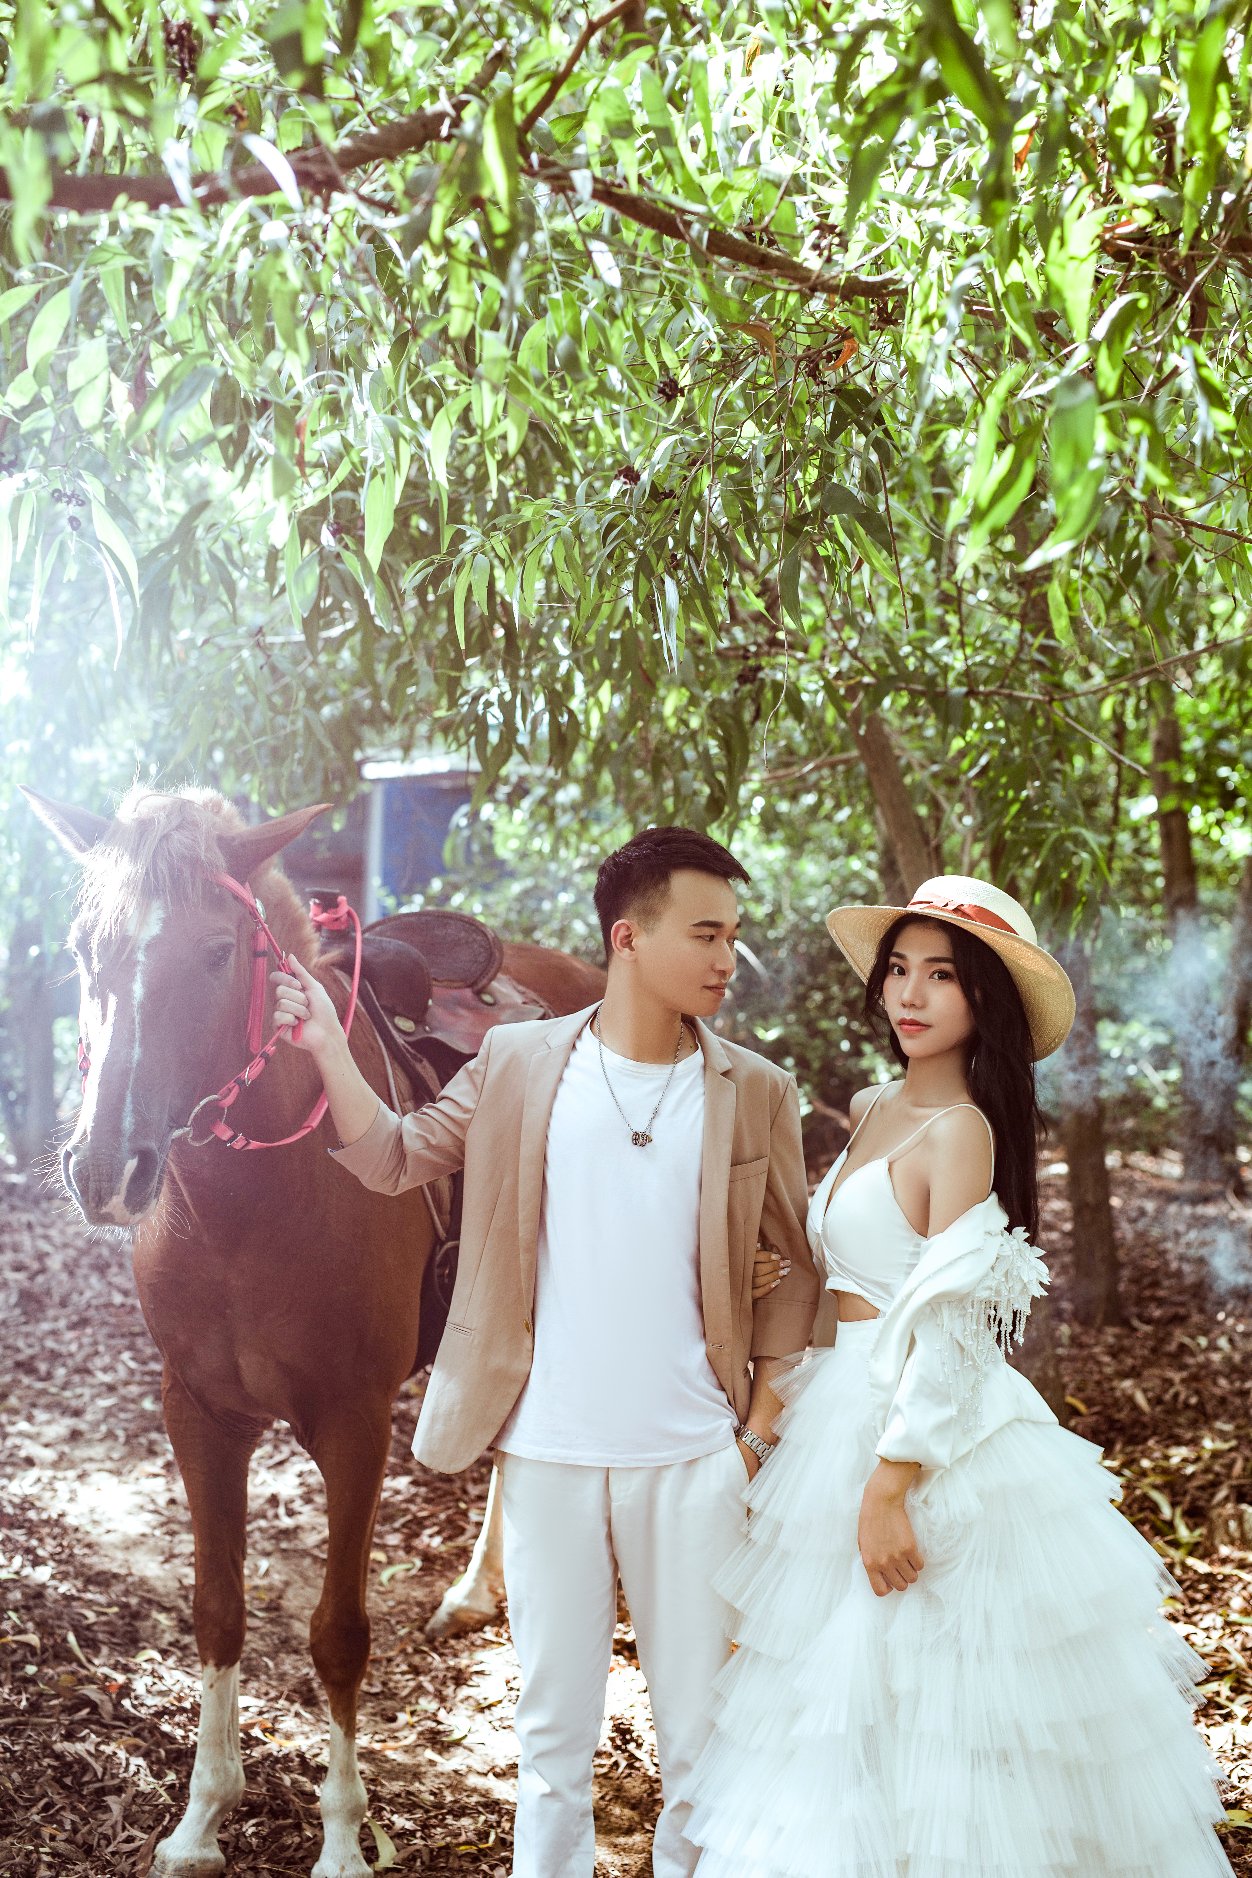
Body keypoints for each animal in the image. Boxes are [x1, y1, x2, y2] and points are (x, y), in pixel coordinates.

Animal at [23, 784, 605, 1878]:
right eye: (84, 950)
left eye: (218, 951)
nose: (104, 1168)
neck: (253, 1204)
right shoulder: (198, 1414)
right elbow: (217, 1611)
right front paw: (202, 1819)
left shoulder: (352, 1425)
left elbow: (338, 1634)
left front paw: (341, 1840)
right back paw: (480, 1591)